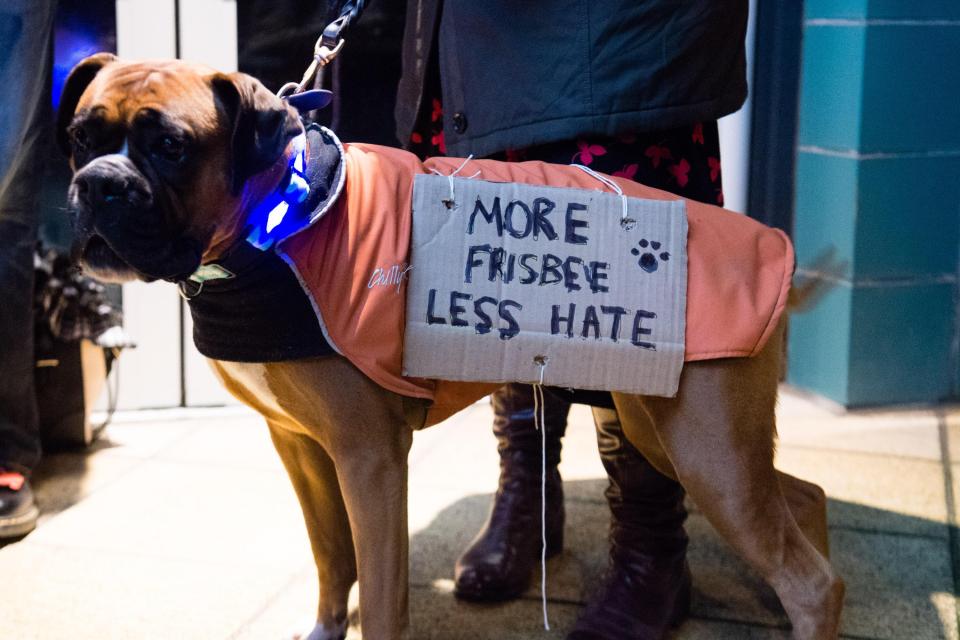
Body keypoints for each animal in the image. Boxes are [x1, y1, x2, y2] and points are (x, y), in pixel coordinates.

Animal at [60, 56, 844, 640]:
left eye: (171, 146)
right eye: (79, 136)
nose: (98, 185)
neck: (273, 222)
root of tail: (771, 248)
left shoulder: (370, 461)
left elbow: (380, 595)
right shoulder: (301, 447)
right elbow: (330, 559)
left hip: (705, 451)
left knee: (813, 580)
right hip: (675, 436)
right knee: (804, 502)